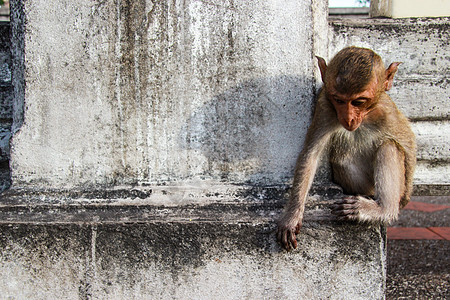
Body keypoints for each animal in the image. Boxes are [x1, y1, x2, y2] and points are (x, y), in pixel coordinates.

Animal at [276, 46, 416, 251]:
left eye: (359, 102)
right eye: (339, 100)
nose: (349, 118)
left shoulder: (386, 111)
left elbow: (407, 142)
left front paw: (404, 200)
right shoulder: (325, 105)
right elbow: (311, 154)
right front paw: (292, 216)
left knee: (389, 145)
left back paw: (383, 209)